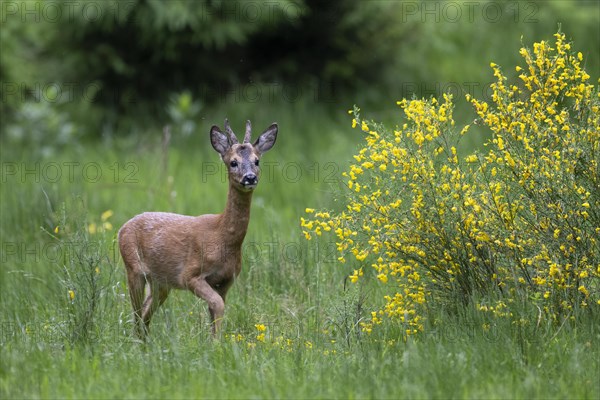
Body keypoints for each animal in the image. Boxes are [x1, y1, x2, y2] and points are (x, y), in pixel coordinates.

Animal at [118, 119, 278, 338]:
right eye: (233, 162)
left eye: (257, 161)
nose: (250, 177)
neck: (222, 237)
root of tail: (122, 228)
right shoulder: (189, 274)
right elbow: (217, 305)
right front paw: (216, 342)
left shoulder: (226, 281)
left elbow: (215, 310)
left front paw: (214, 341)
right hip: (134, 268)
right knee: (135, 313)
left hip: (160, 282)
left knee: (145, 312)